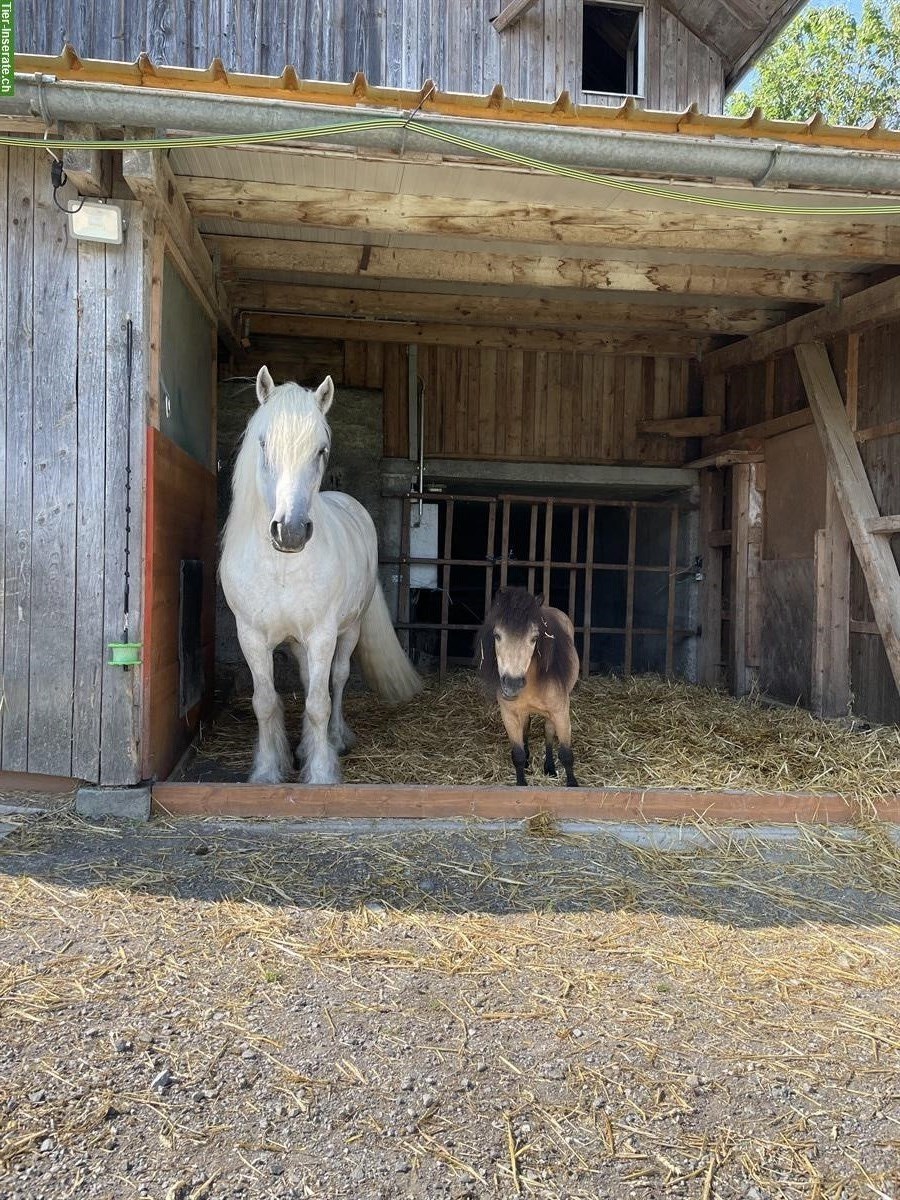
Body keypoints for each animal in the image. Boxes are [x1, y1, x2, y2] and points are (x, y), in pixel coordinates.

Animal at [224, 369, 424, 792]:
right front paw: (267, 771)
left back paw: (336, 739)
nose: (291, 531)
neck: (282, 566)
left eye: (320, 450)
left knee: (338, 679)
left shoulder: (322, 635)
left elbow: (320, 702)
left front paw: (321, 773)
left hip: (348, 631)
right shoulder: (250, 636)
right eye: (263, 443)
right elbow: (264, 702)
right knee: (305, 677)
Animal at [475, 588, 580, 787]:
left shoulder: (561, 712)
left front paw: (572, 785)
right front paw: (521, 782)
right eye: (497, 635)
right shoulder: (509, 715)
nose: (512, 684)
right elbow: (517, 753)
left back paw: (549, 767)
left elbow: (566, 754)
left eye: (534, 638)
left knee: (548, 733)